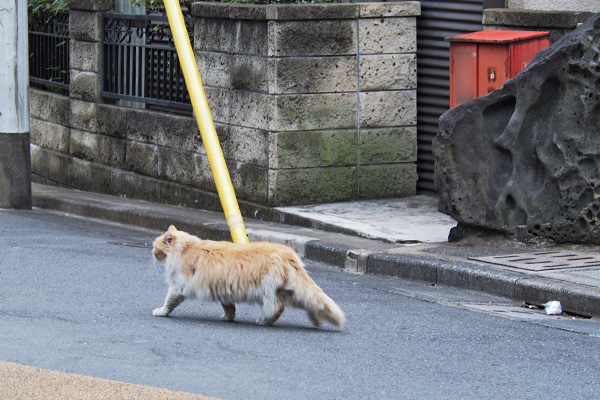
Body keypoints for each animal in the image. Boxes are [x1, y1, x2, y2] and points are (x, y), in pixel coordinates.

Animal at [152, 225, 344, 328]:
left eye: (155, 247)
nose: (152, 252)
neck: (187, 247)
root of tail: (288, 254)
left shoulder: (178, 287)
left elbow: (168, 303)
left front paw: (160, 312)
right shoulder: (222, 290)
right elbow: (229, 307)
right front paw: (228, 318)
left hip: (267, 291)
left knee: (277, 308)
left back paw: (264, 321)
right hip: (291, 291)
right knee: (312, 303)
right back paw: (316, 322)